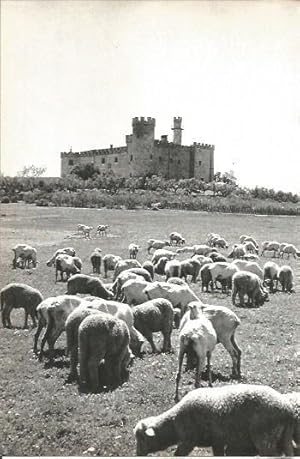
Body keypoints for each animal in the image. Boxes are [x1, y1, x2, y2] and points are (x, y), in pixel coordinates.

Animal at [135, 386, 296, 458]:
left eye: (142, 439)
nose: (137, 454)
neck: (174, 423)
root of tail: (287, 408)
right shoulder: (217, 440)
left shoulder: (189, 440)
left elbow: (178, 453)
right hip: (284, 437)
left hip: (265, 437)